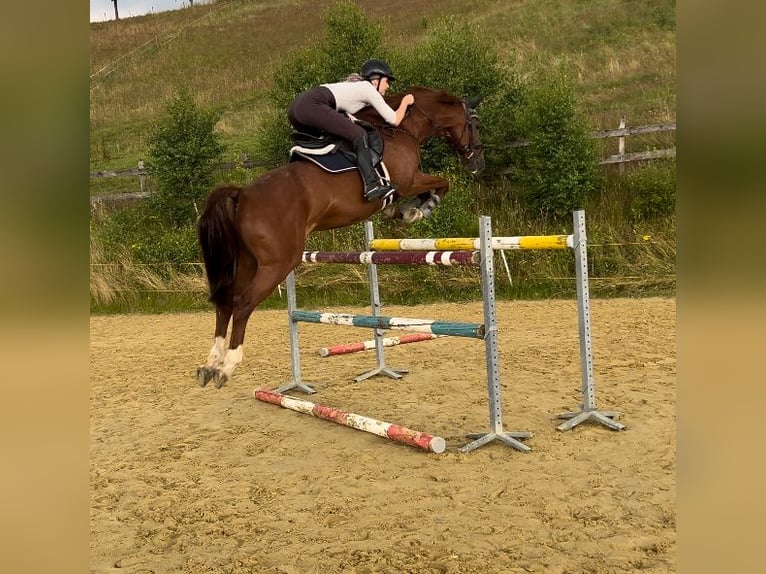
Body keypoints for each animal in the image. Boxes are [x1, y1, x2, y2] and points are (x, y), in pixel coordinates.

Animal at [198, 85, 486, 390]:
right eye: (476, 123)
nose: (478, 163)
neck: (402, 129)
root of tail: (243, 194)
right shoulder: (409, 180)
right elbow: (442, 183)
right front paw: (420, 210)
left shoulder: (407, 184)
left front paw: (402, 211)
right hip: (278, 262)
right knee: (243, 303)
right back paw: (227, 366)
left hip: (247, 261)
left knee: (226, 301)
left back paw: (210, 364)